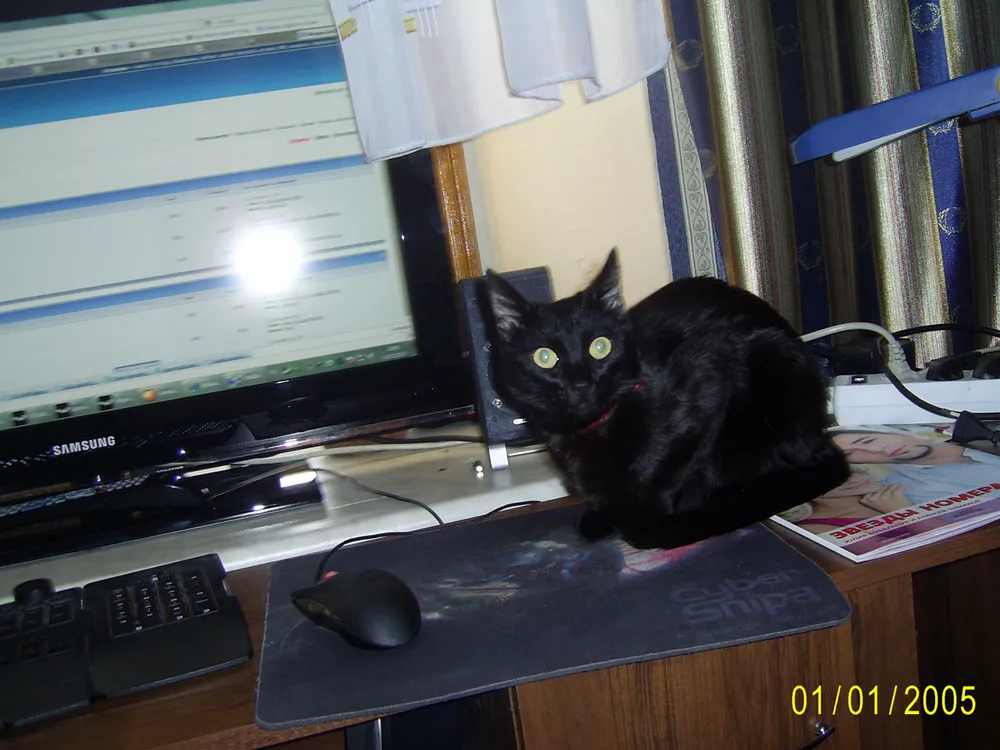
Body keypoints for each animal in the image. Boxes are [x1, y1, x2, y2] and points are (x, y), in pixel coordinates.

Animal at [481, 248, 850, 550]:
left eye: (601, 346)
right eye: (544, 357)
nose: (582, 383)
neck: (596, 429)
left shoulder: (710, 385)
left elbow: (664, 473)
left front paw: (645, 516)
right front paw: (600, 513)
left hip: (772, 374)